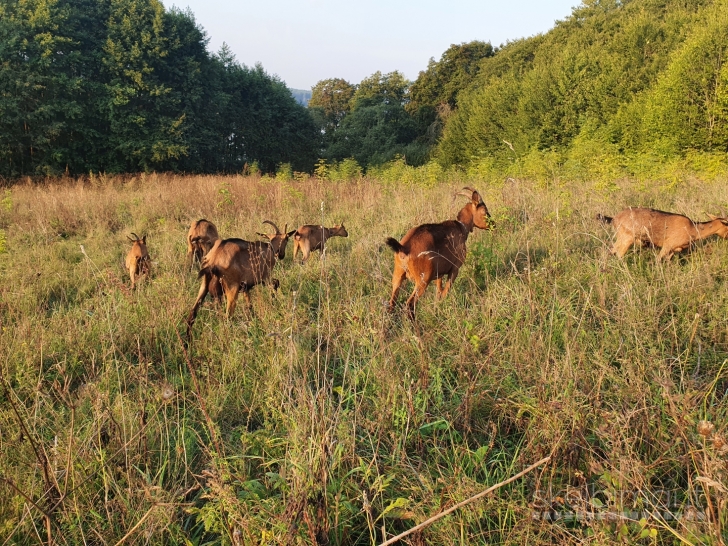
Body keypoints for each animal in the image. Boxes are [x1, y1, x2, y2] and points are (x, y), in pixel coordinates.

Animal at [384, 187, 492, 316]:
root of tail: (403, 248)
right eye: (485, 211)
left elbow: (439, 293)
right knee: (410, 304)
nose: (493, 224)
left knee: (392, 303)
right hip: (422, 281)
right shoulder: (455, 268)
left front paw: (437, 308)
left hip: (397, 276)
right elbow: (445, 292)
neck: (461, 228)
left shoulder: (438, 274)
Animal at [596, 207, 728, 260]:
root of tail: (615, 218)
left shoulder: (674, 250)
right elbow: (658, 260)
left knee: (610, 251)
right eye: (727, 226)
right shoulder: (667, 245)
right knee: (618, 255)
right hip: (626, 239)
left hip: (621, 239)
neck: (693, 228)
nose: (727, 238)